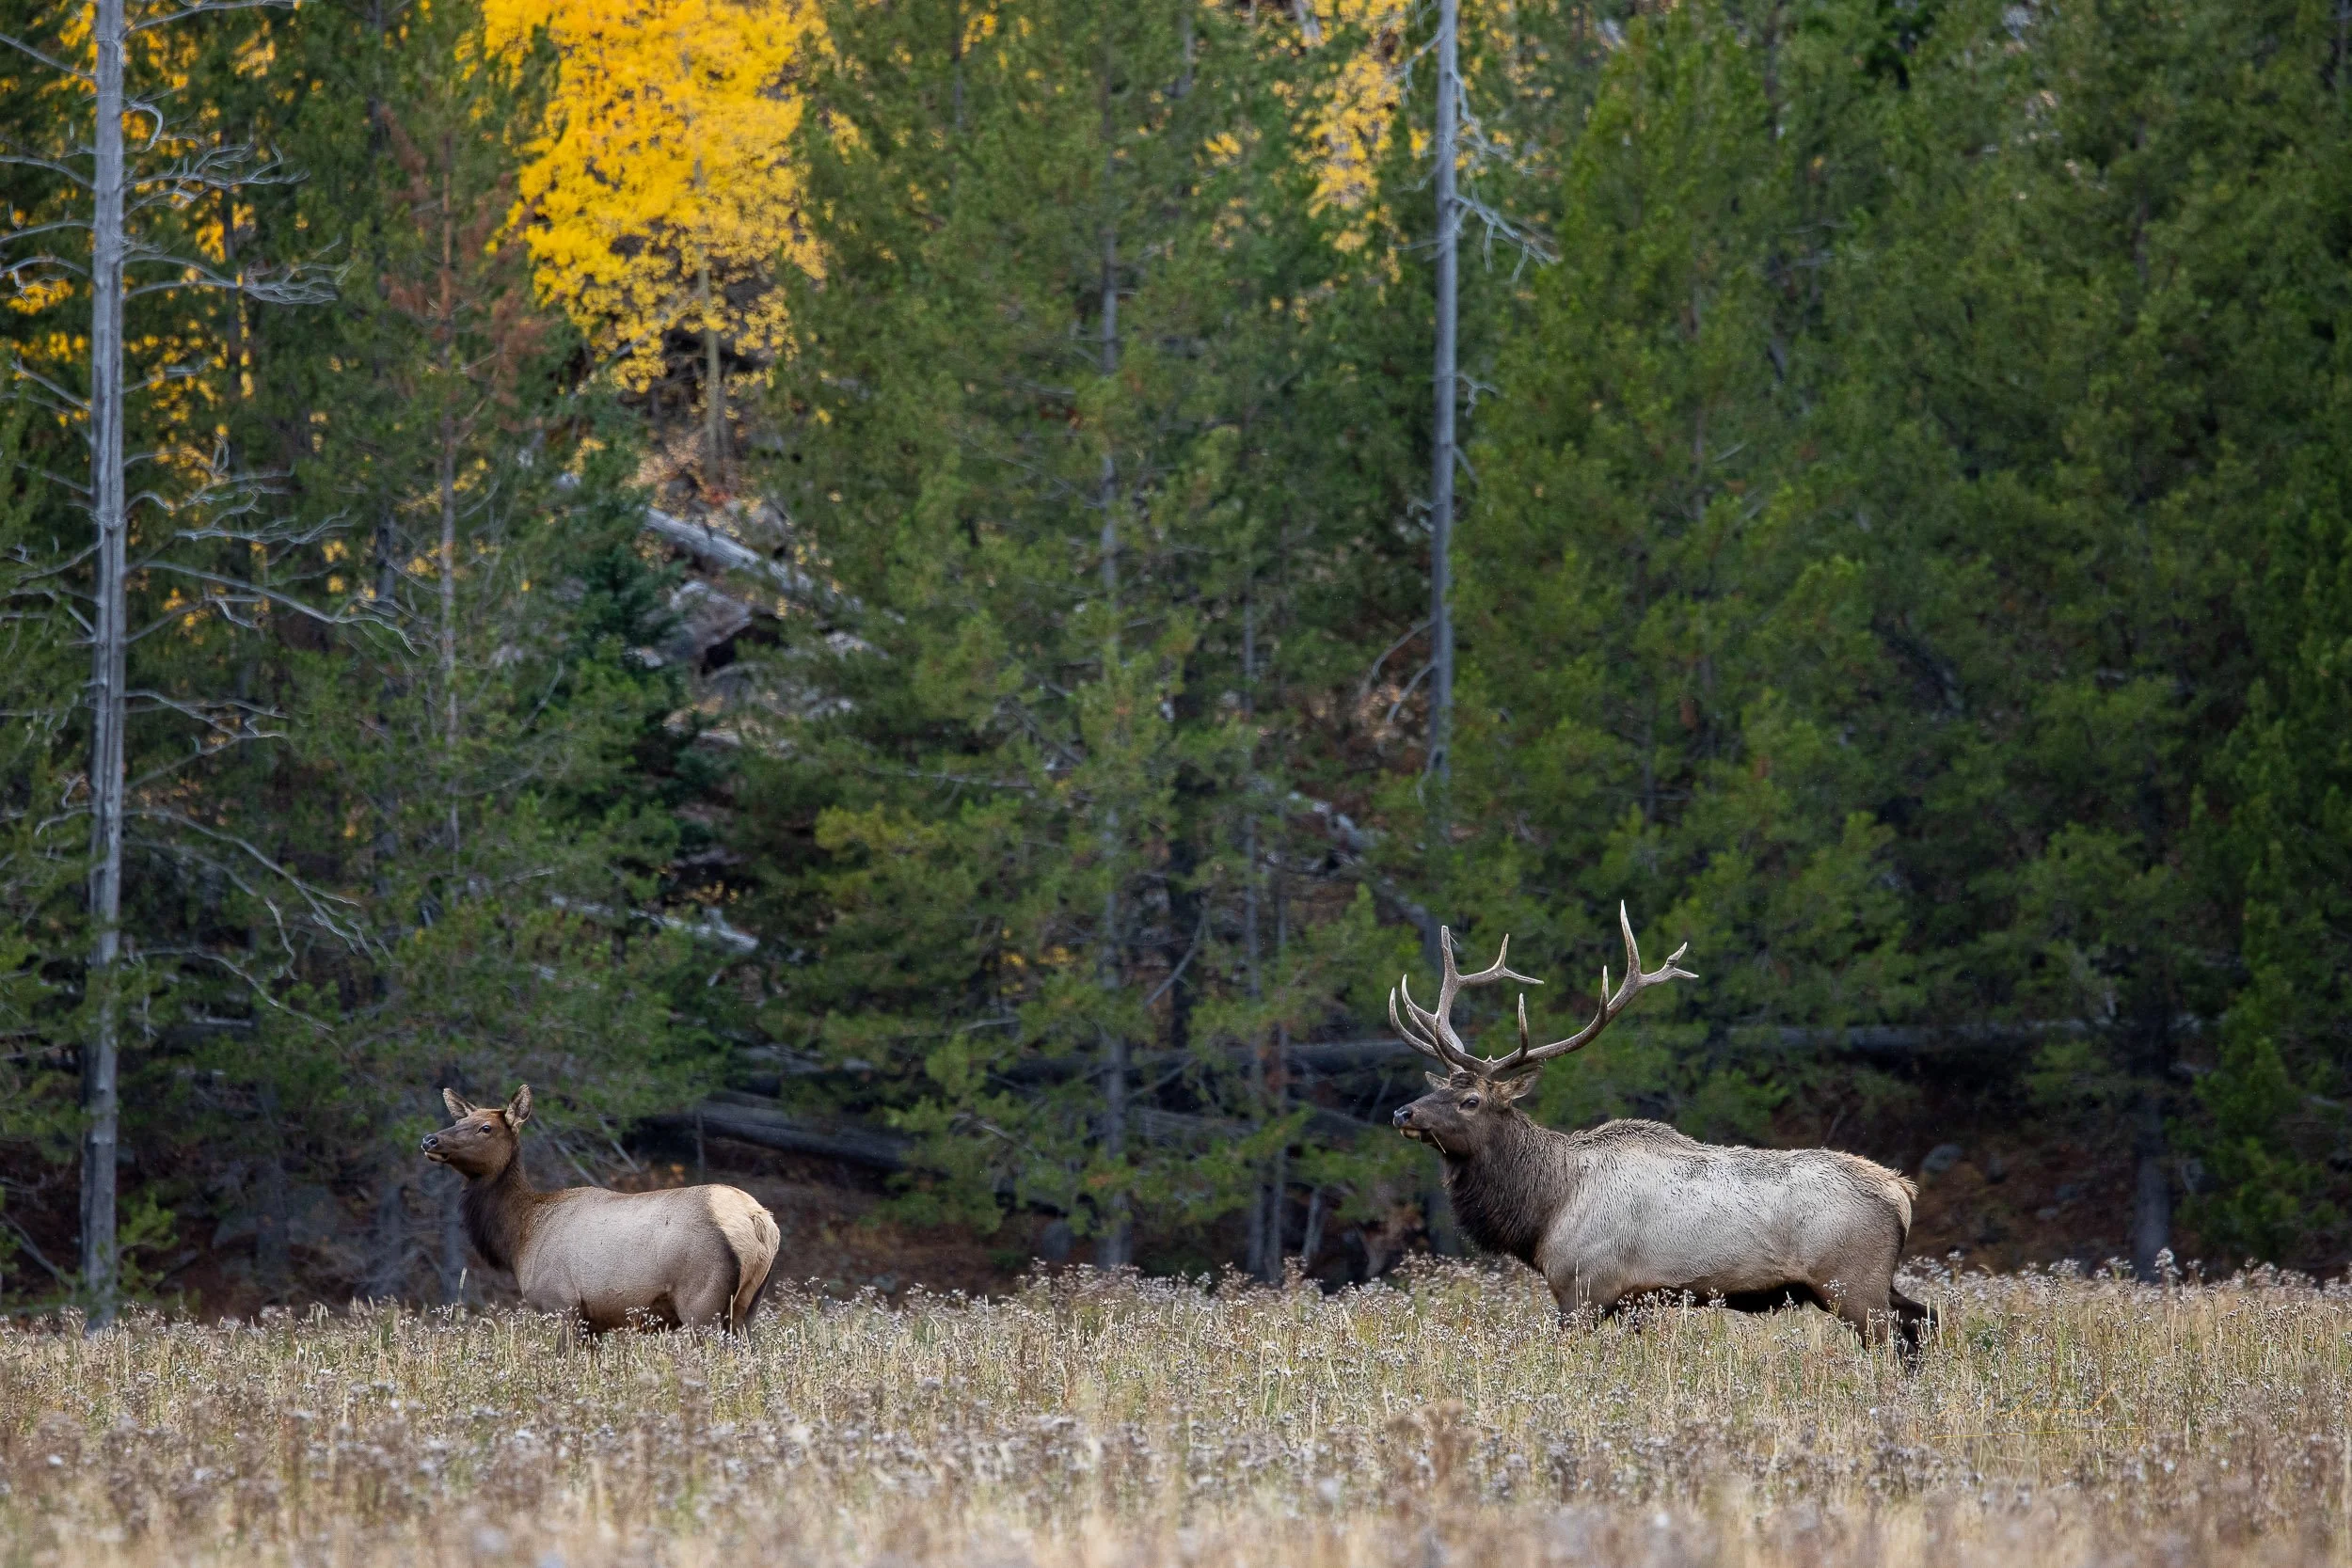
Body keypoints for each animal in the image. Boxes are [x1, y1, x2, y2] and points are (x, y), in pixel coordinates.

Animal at [421, 1086, 780, 1337]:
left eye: (485, 1128)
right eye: (459, 1120)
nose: (430, 1140)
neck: (520, 1238)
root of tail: (760, 1223)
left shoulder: (561, 1304)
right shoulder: (593, 1321)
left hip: (702, 1301)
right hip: (748, 1305)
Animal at [1388, 908, 1935, 1357]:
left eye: (1471, 1101)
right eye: (1440, 1089)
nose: (1402, 1113)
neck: (1544, 1211)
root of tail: (1902, 1192)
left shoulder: (1584, 1288)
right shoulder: (1637, 1300)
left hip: (1853, 1283)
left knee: (1899, 1341)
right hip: (1871, 1285)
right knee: (1926, 1319)